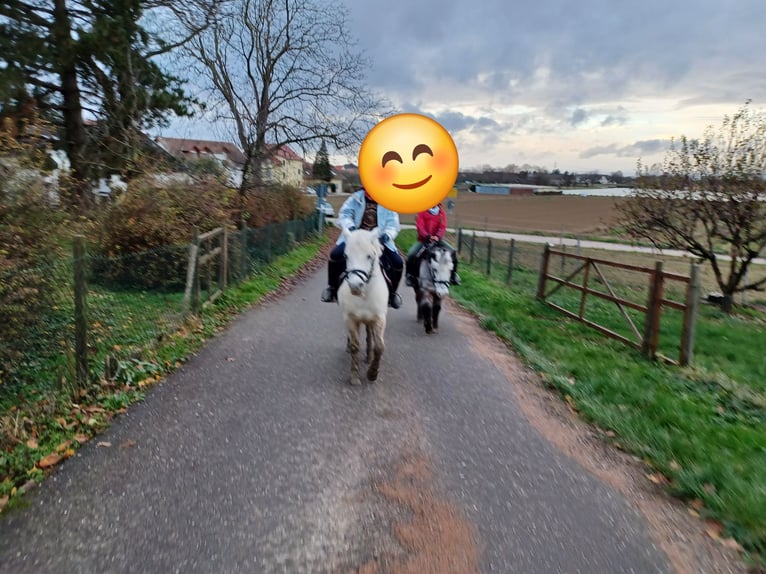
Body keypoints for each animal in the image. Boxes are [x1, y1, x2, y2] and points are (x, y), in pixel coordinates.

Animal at [340, 227, 390, 384]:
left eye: (369, 256)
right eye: (346, 256)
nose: (355, 286)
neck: (364, 295)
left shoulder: (379, 318)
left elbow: (379, 347)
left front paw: (372, 373)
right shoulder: (350, 318)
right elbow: (355, 346)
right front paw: (355, 376)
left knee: (370, 336)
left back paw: (368, 357)